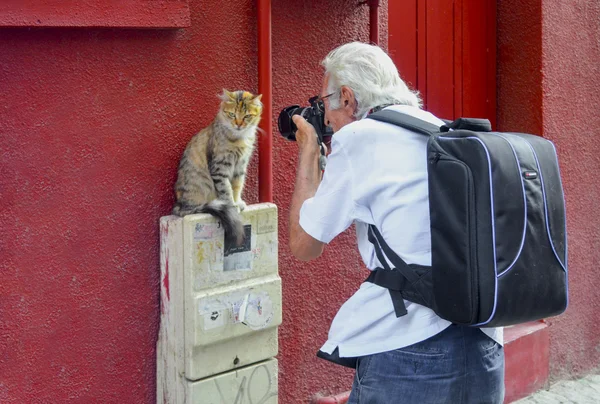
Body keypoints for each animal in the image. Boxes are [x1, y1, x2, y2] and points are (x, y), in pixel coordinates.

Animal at [170, 89, 262, 245]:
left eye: (247, 116)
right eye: (232, 114)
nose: (238, 125)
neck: (239, 139)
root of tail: (179, 206)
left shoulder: (240, 167)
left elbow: (237, 187)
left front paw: (238, 202)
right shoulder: (220, 168)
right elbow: (226, 190)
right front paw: (233, 206)